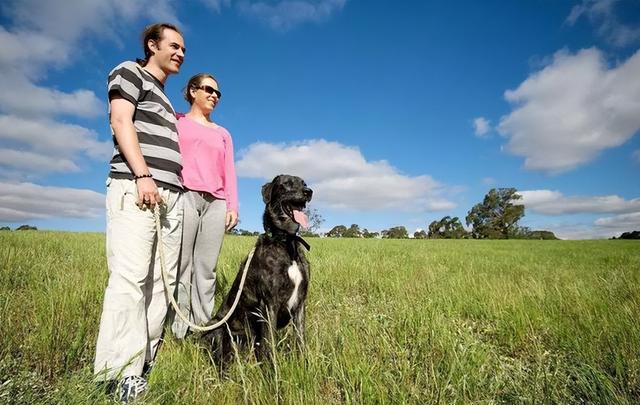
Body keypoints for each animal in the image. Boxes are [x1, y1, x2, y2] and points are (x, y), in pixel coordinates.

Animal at [202, 174, 312, 366]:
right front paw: (272, 370)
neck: (286, 241)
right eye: (287, 184)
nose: (309, 192)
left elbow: (300, 339)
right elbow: (270, 344)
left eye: (304, 183)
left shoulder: (300, 302)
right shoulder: (269, 304)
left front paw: (304, 364)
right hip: (218, 329)